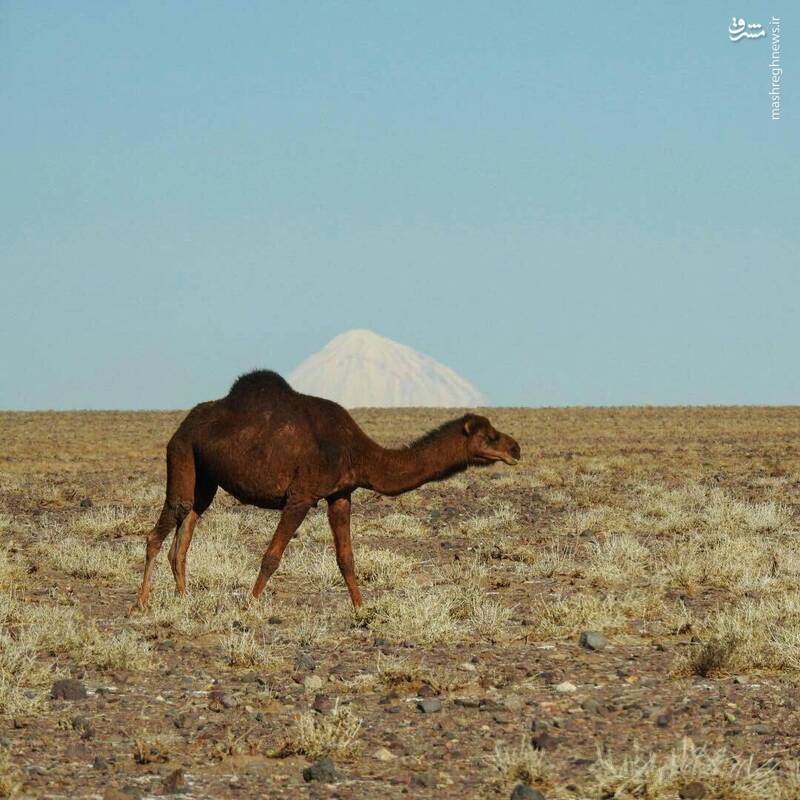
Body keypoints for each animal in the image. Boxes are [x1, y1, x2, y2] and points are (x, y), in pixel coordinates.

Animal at [134, 372, 520, 608]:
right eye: (490, 437)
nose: (516, 448)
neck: (357, 451)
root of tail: (183, 425)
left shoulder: (340, 494)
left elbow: (346, 558)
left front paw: (362, 609)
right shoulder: (302, 496)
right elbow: (271, 557)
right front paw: (248, 607)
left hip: (205, 477)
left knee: (188, 524)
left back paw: (184, 599)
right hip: (182, 452)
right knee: (168, 520)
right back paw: (142, 602)